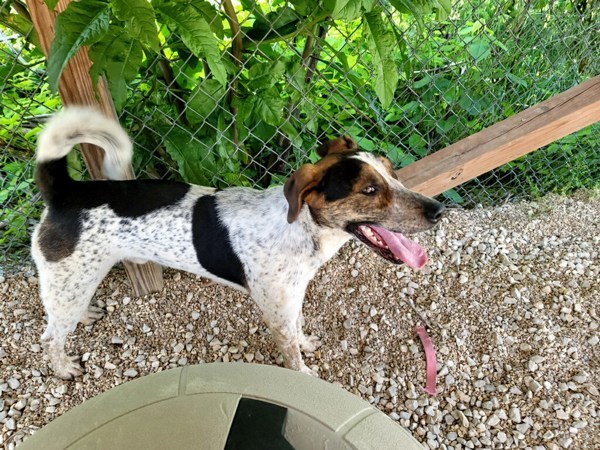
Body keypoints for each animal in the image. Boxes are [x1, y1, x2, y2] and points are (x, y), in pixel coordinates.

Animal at [32, 107, 446, 378]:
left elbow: (298, 331)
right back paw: (64, 369)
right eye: (369, 190)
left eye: (393, 174)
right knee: (50, 336)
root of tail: (65, 192)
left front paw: (307, 343)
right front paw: (304, 375)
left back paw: (86, 316)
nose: (438, 210)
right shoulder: (276, 311)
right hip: (71, 280)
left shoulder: (291, 300)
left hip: (76, 282)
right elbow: (291, 355)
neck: (299, 229)